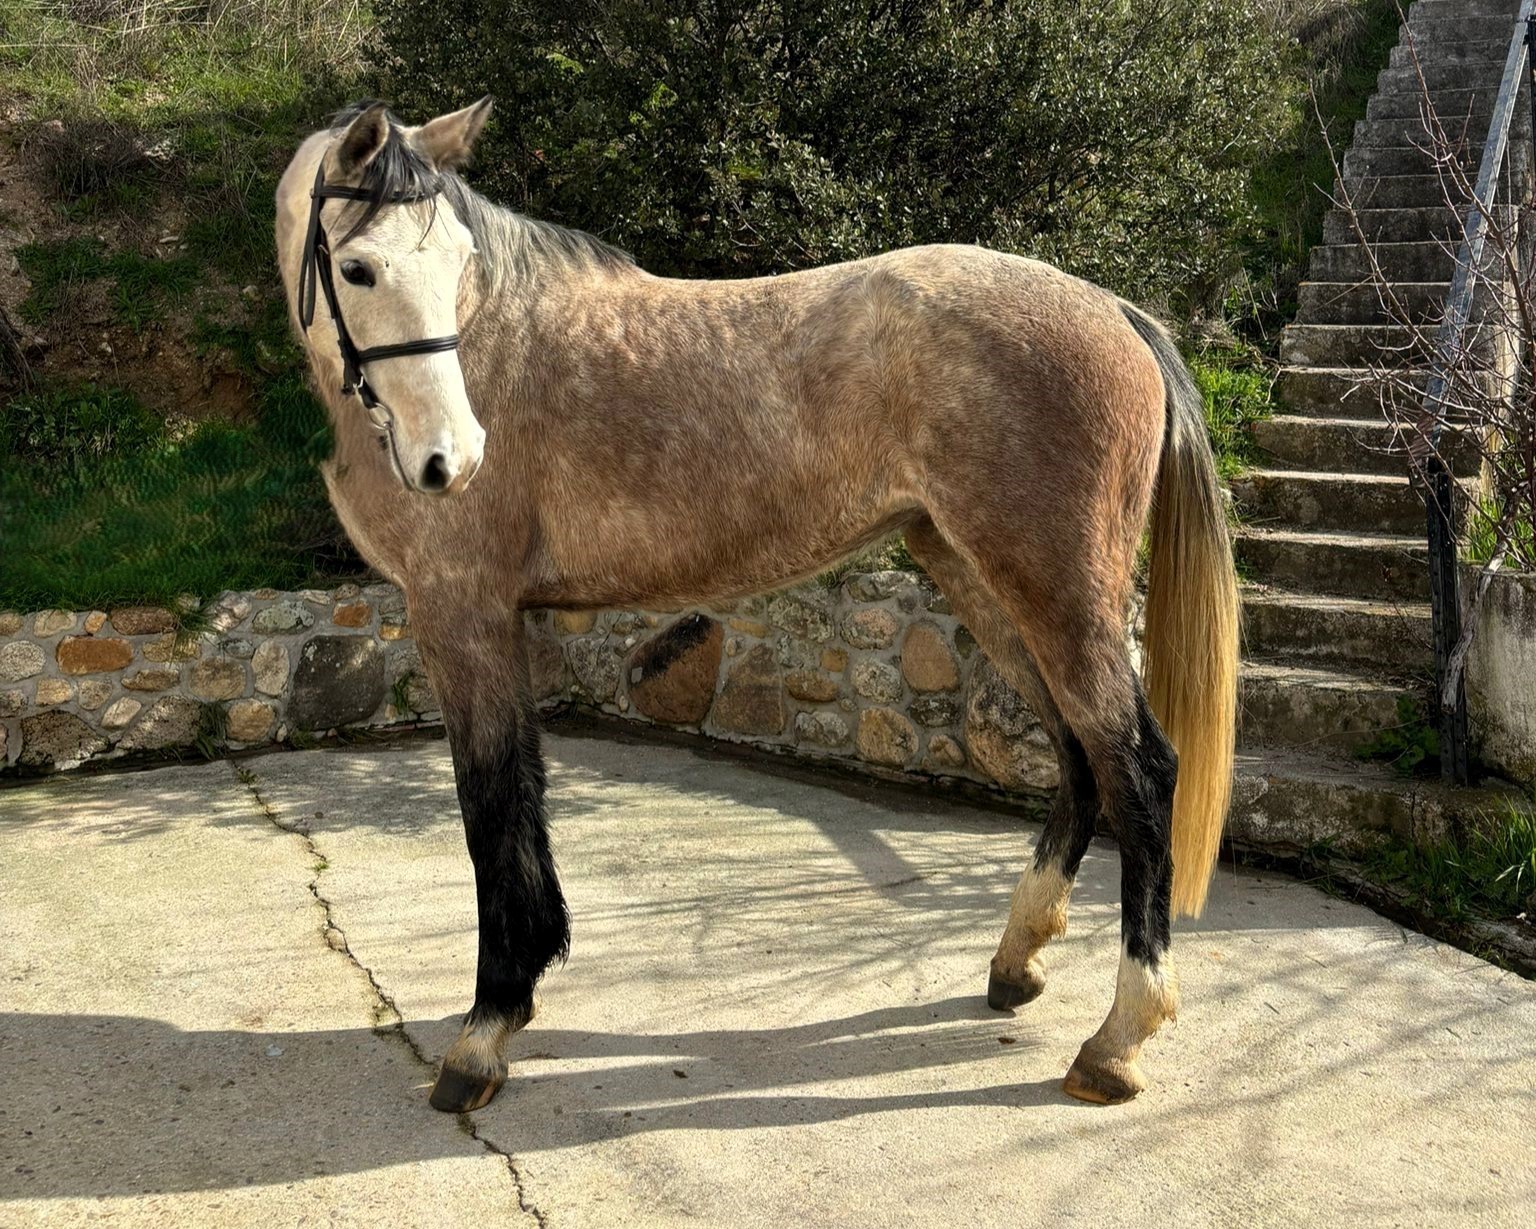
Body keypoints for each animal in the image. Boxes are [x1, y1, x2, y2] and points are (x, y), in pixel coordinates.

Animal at [275, 99, 1239, 1113]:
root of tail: (1114, 310)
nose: (449, 461)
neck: (490, 347)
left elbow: (491, 806)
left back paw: (1117, 1040)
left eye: (458, 263)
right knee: (1079, 757)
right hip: (978, 573)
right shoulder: (491, 618)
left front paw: (485, 1030)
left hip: (1055, 589)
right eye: (357, 268)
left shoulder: (462, 611)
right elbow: (517, 800)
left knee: (1140, 770)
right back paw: (1017, 963)